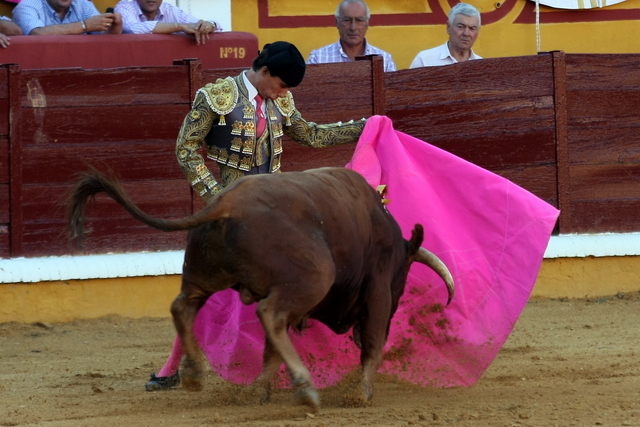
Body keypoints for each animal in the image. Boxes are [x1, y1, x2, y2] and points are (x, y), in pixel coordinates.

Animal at [67, 166, 452, 412]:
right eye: (402, 280)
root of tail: (226, 203)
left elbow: (271, 349)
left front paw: (258, 391)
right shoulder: (377, 291)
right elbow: (373, 343)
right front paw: (362, 393)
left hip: (205, 274)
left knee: (185, 307)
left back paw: (197, 374)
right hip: (314, 276)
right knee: (270, 315)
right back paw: (304, 388)